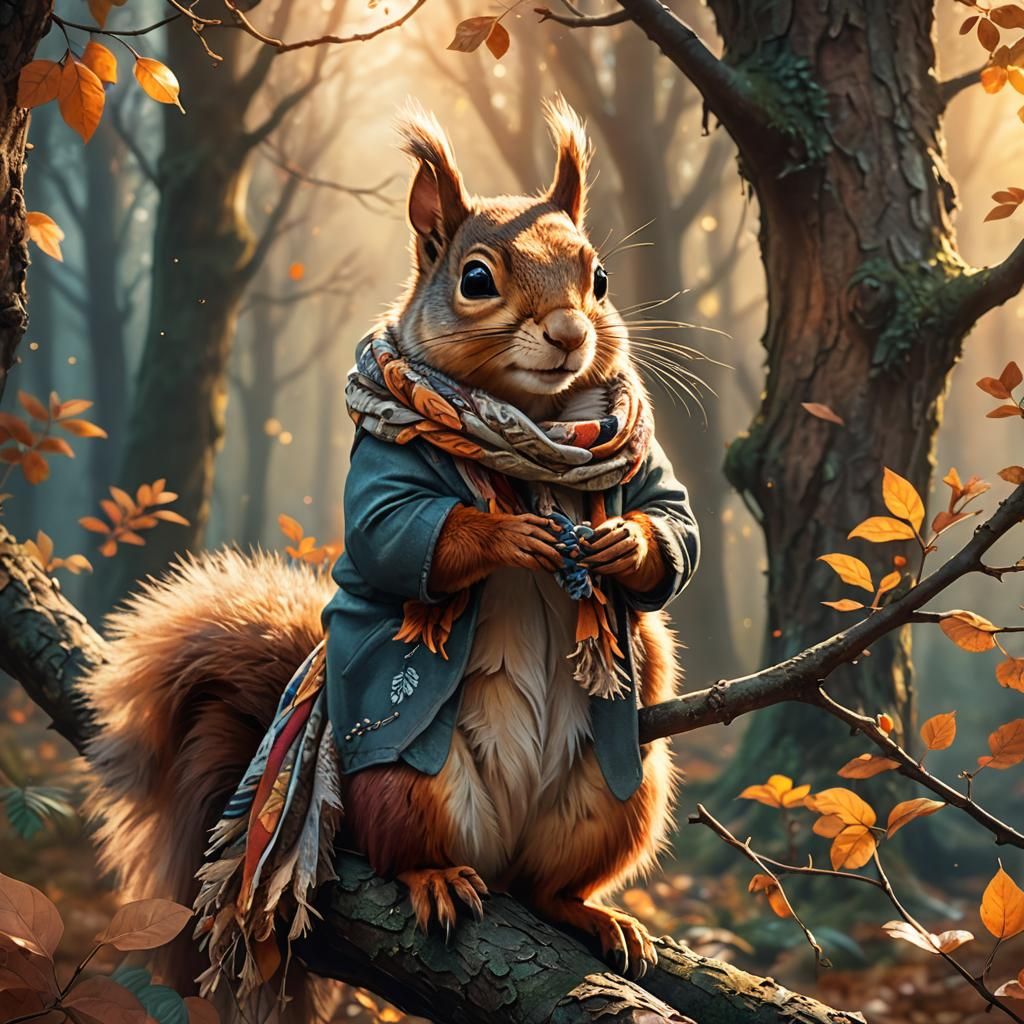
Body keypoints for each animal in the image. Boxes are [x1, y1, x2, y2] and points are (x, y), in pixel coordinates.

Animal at [82, 97, 700, 1011]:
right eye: (475, 279)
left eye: (600, 280)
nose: (567, 333)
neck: (531, 432)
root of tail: (499, 853)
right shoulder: (379, 477)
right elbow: (396, 535)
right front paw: (506, 536)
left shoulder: (646, 468)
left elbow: (671, 517)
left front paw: (625, 543)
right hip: (411, 783)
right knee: (406, 848)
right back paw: (437, 880)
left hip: (616, 800)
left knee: (547, 886)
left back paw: (594, 914)